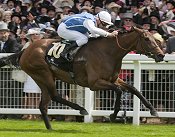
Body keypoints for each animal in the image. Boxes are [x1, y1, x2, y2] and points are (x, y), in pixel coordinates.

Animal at [0, 26, 164, 129]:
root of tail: (25, 50)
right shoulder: (94, 83)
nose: (161, 55)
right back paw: (82, 109)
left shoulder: (113, 79)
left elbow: (134, 89)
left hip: (42, 78)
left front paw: (153, 110)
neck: (109, 52)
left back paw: (50, 128)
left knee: (44, 104)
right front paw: (113, 115)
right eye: (146, 39)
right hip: (43, 74)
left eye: (154, 38)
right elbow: (118, 90)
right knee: (55, 96)